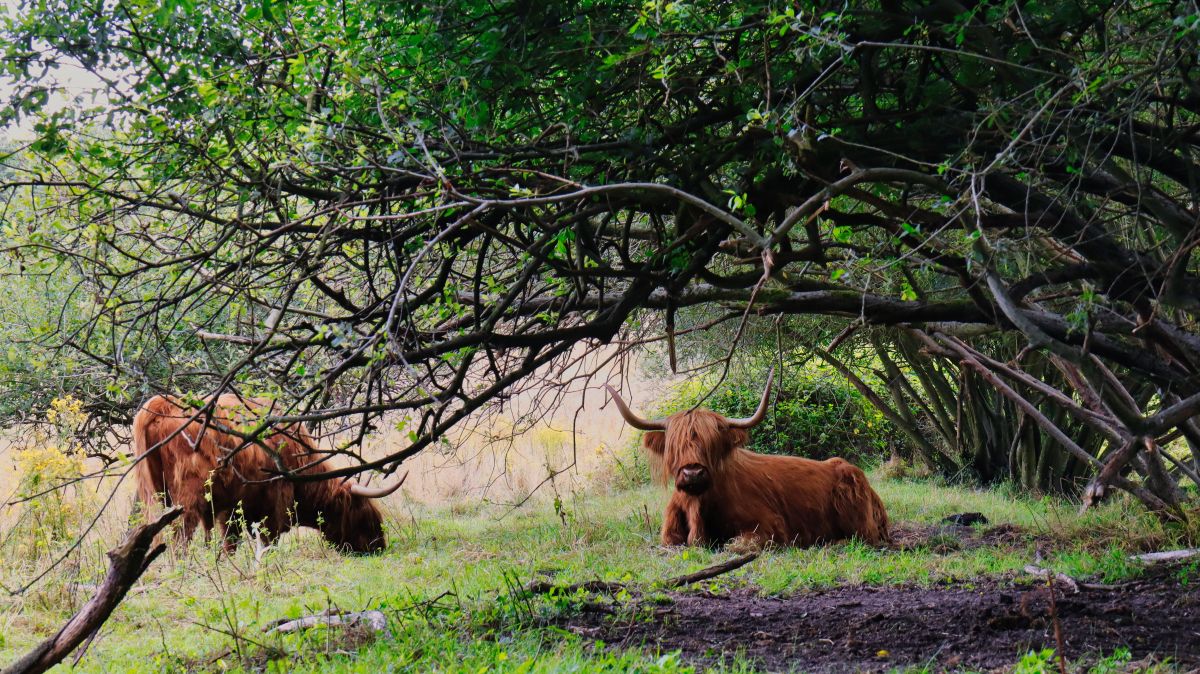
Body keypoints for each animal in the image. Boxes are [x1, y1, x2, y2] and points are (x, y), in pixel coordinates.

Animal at [604, 369, 888, 549]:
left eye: (712, 443)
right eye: (675, 445)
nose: (693, 473)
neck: (699, 506)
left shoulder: (772, 528)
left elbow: (735, 546)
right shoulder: (669, 535)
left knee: (862, 538)